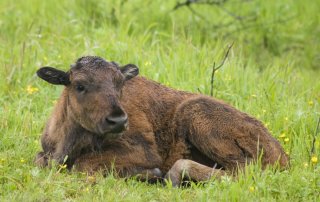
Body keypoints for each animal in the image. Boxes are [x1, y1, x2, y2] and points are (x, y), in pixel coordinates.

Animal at [34, 55, 288, 186]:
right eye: (79, 85)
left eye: (120, 83)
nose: (118, 120)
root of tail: (281, 153)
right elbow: (41, 160)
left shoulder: (143, 152)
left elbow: (83, 164)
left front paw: (150, 174)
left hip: (195, 115)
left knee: (242, 172)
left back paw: (174, 176)